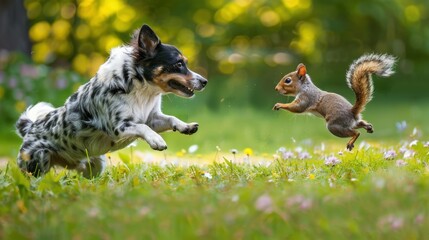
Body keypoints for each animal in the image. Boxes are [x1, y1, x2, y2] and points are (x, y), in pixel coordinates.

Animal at [17, 23, 208, 178]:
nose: (204, 81)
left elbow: (169, 119)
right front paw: (157, 140)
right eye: (178, 64)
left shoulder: (152, 118)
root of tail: (30, 128)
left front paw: (186, 126)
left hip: (95, 165)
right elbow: (142, 127)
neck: (143, 92)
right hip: (37, 163)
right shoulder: (119, 126)